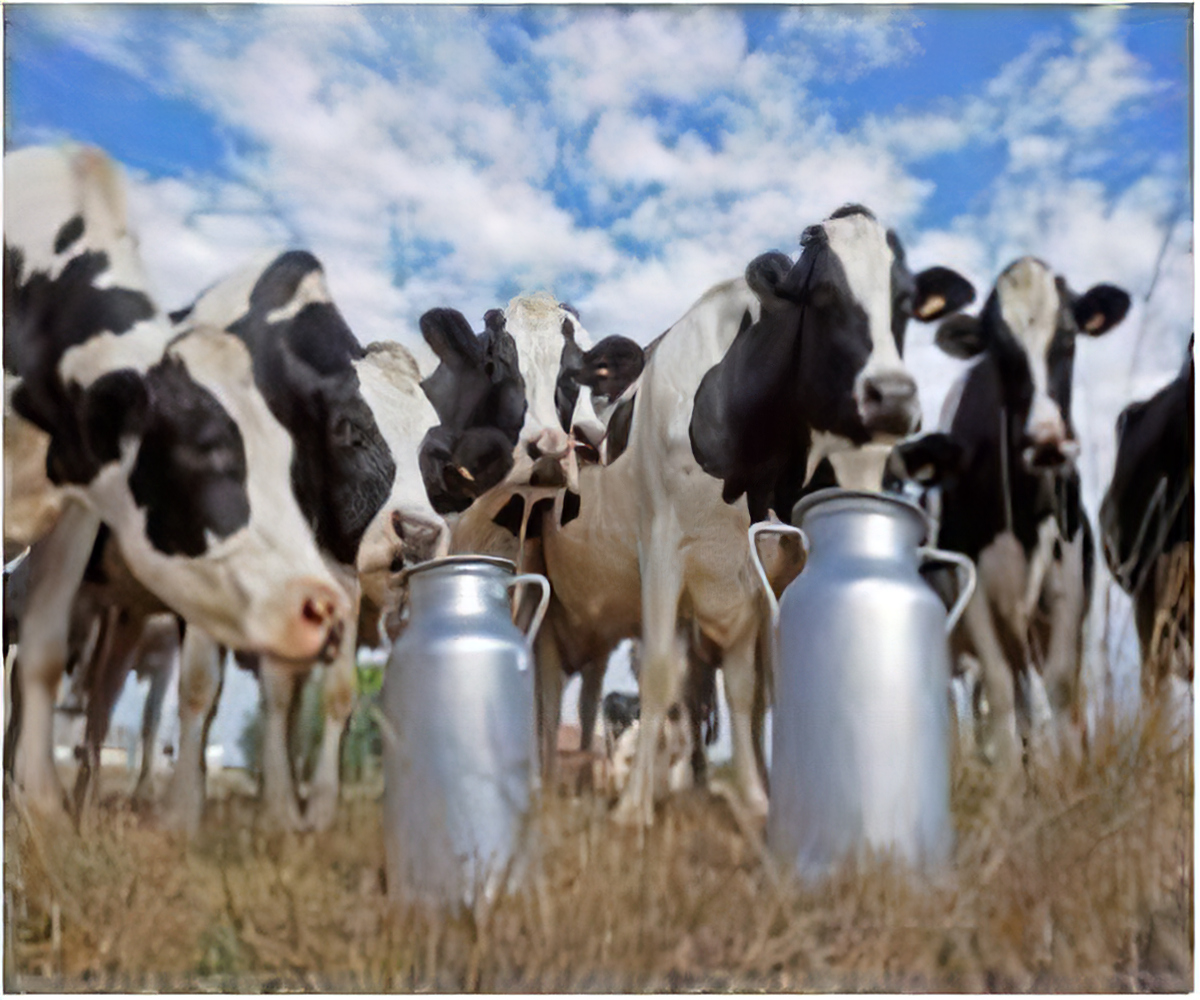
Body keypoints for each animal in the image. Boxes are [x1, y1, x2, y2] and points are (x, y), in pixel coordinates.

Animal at [4, 142, 350, 811]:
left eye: (291, 463)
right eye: (205, 448)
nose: (323, 608)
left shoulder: (80, 507)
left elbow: (43, 652)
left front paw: (47, 808)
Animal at [164, 253, 451, 830]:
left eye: (436, 452)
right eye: (348, 430)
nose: (419, 532)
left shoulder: (339, 578)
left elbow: (332, 694)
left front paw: (310, 810)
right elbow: (199, 688)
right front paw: (184, 813)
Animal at [921, 255, 1128, 763]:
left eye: (1069, 337)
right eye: (999, 351)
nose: (1048, 440)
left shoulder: (1068, 583)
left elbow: (1060, 687)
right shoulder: (974, 587)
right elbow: (997, 690)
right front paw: (1008, 782)